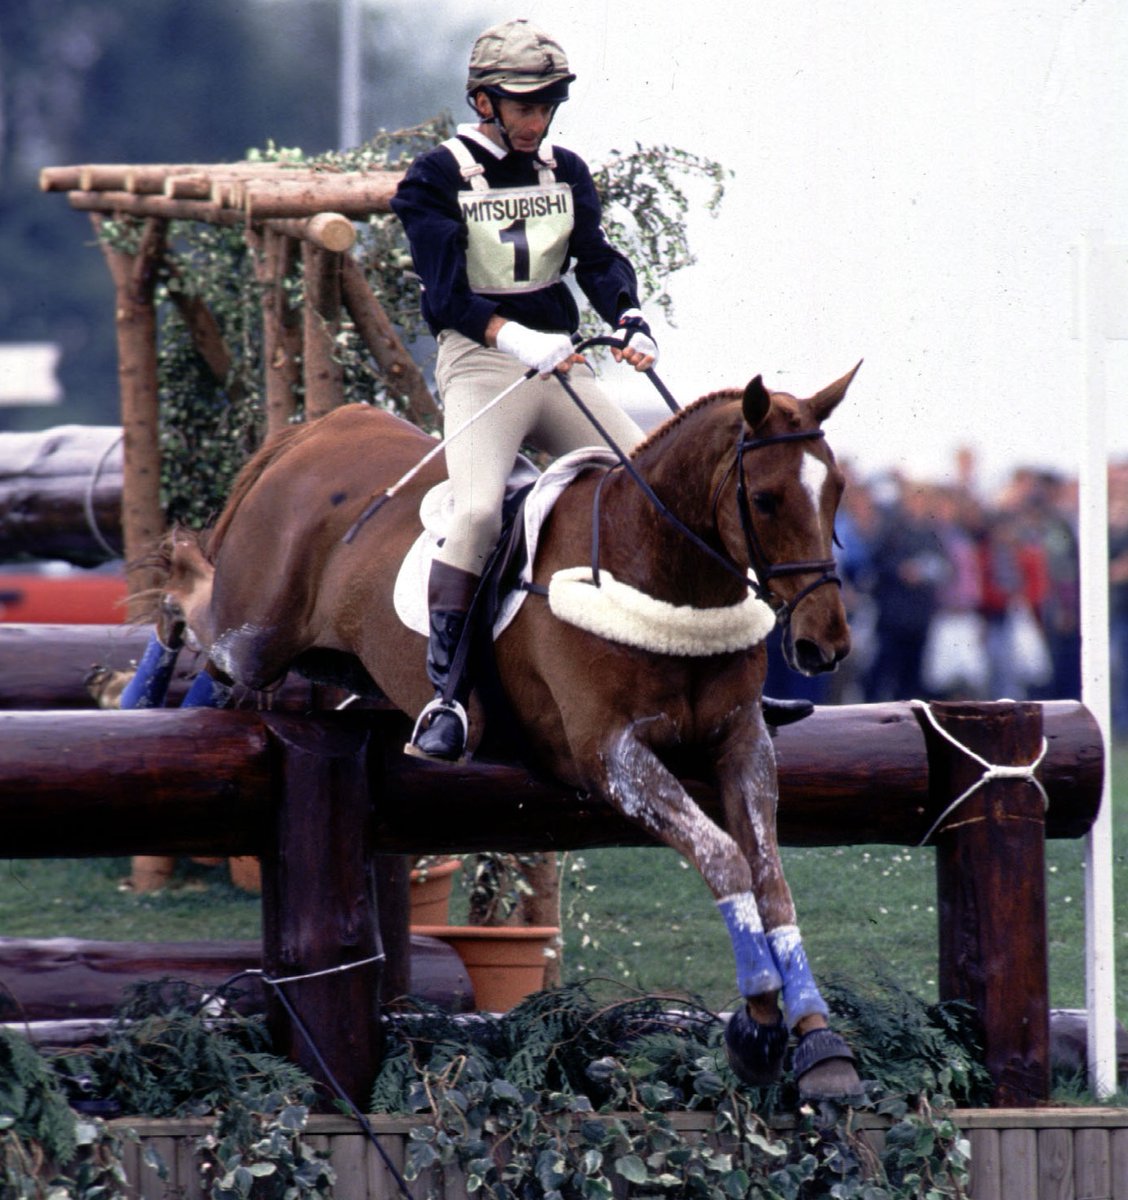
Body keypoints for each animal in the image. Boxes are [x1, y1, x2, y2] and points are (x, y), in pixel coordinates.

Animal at [151, 363, 863, 1099]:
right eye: (767, 499)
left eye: (837, 490)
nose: (825, 646)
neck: (660, 572)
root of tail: (321, 430)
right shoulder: (609, 754)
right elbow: (725, 859)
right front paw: (757, 1024)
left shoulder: (741, 743)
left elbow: (770, 877)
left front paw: (819, 1041)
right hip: (255, 632)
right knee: (198, 607)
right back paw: (160, 631)